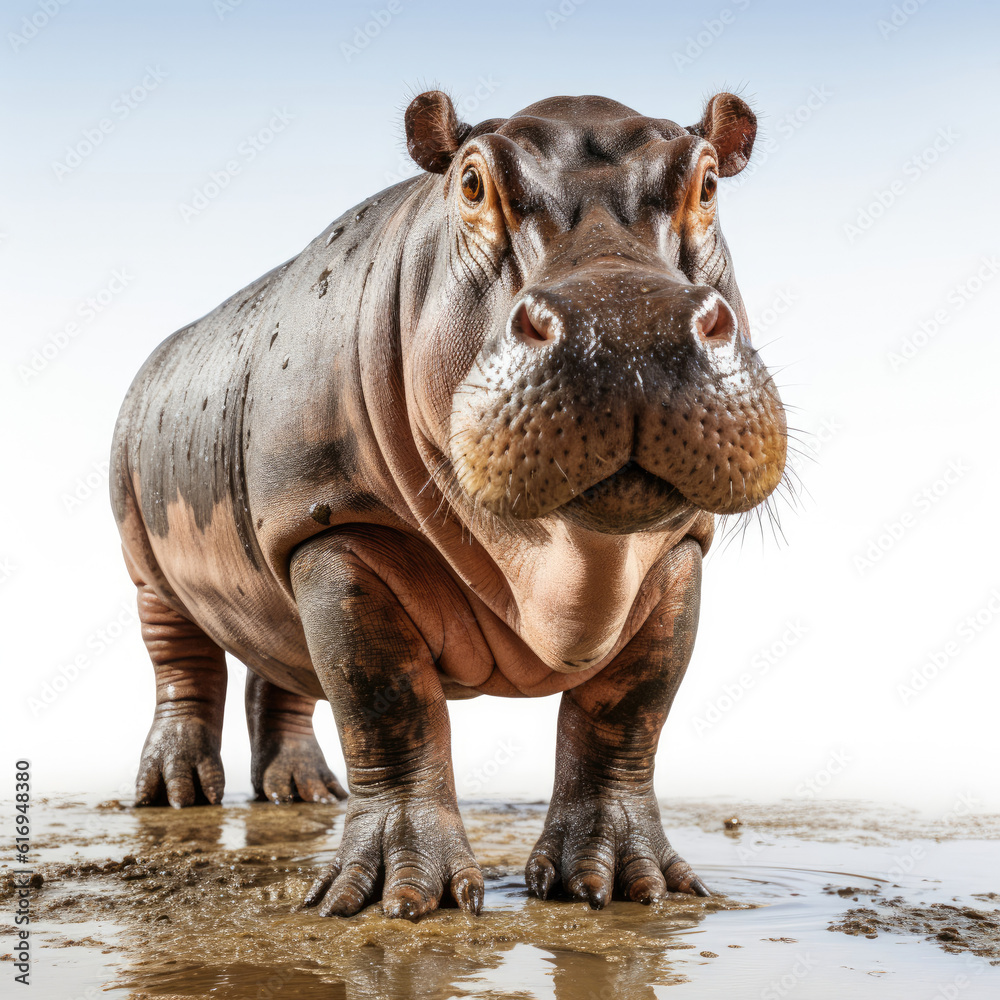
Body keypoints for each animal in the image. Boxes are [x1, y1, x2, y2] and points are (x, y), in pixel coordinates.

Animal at [111, 89, 786, 920]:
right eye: (470, 183)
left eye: (710, 182)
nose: (626, 325)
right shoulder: (340, 531)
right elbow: (388, 705)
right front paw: (398, 901)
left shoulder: (680, 548)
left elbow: (628, 711)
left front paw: (629, 888)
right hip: (151, 554)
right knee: (180, 657)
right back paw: (176, 797)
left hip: (276, 543)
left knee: (284, 661)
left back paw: (303, 795)